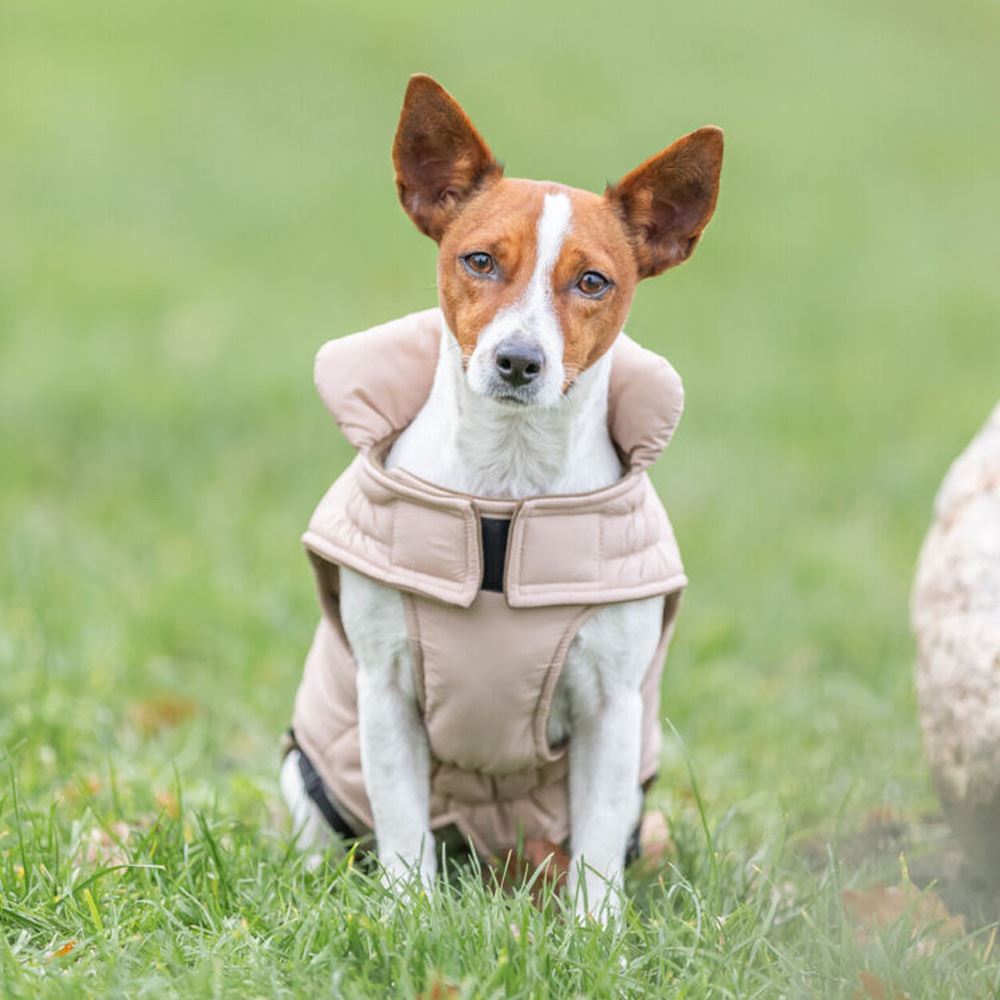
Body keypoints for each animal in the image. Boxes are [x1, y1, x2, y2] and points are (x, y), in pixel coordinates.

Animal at [280, 72, 720, 920]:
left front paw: (594, 933)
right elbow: (404, 827)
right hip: (309, 772)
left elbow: (597, 849)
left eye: (593, 281)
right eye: (479, 260)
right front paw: (411, 916)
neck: (503, 503)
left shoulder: (613, 710)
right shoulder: (384, 693)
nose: (519, 360)